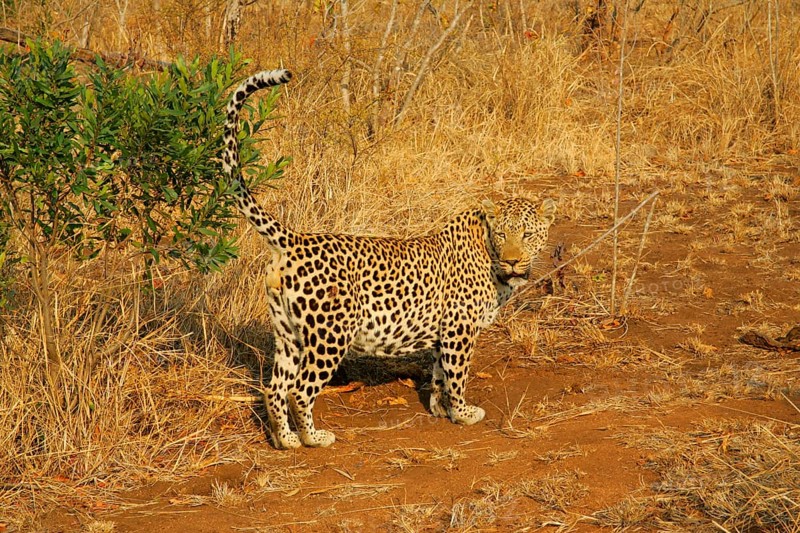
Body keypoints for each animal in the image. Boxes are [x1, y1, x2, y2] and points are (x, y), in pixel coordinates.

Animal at [222, 69, 557, 449]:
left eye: (527, 235)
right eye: (502, 235)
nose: (514, 261)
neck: (488, 253)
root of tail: (296, 239)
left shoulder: (443, 332)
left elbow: (439, 373)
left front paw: (440, 409)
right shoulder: (459, 329)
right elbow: (457, 375)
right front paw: (463, 413)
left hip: (289, 333)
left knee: (275, 387)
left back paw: (285, 440)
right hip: (330, 334)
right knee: (300, 390)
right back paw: (313, 437)